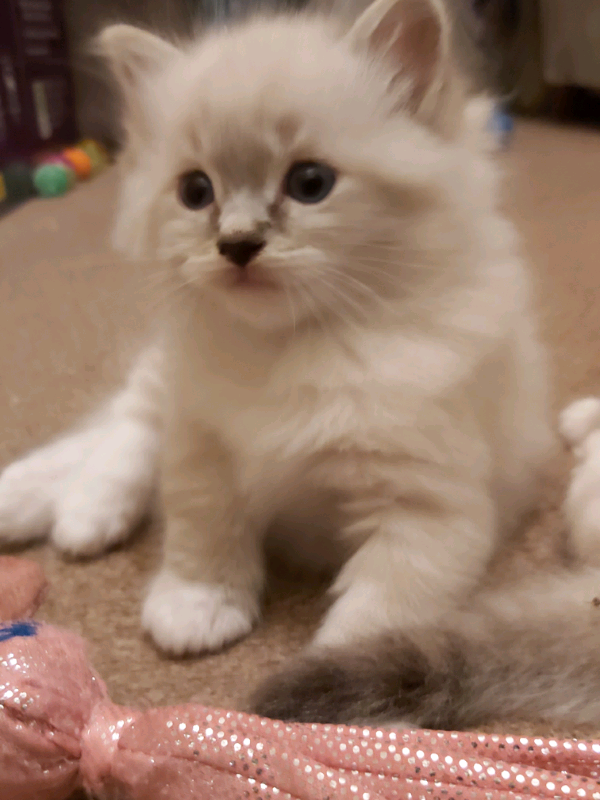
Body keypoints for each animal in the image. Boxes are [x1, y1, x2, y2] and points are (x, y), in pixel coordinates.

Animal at [0, 0, 556, 712]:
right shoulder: (204, 444)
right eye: (195, 191)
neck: (299, 350)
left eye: (310, 183)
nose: (237, 245)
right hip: (169, 377)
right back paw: (76, 512)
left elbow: (377, 614)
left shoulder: (426, 509)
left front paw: (337, 700)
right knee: (126, 425)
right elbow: (202, 534)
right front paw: (195, 610)